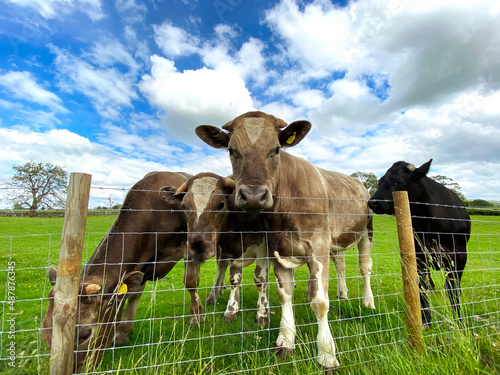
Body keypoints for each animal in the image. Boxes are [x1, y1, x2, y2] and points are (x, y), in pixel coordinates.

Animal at [41, 172, 207, 374]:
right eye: (45, 331)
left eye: (85, 334)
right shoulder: (142, 261)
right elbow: (133, 292)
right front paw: (122, 332)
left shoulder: (189, 245)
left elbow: (191, 281)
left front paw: (197, 317)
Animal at [159, 173, 270, 326]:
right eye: (184, 206)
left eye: (221, 204)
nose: (199, 247)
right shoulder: (230, 249)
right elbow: (233, 278)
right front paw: (231, 310)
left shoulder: (262, 248)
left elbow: (260, 280)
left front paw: (262, 313)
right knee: (222, 269)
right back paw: (214, 296)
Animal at [196, 111, 376, 370]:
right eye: (231, 150)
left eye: (277, 149)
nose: (253, 195)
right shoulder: (278, 247)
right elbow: (285, 294)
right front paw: (286, 340)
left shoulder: (318, 246)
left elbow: (320, 301)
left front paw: (326, 354)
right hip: (335, 242)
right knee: (340, 265)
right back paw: (342, 293)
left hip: (366, 232)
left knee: (364, 267)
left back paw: (368, 302)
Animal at [368, 159, 468, 326]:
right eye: (380, 181)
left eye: (397, 181)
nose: (372, 202)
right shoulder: (419, 253)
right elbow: (421, 285)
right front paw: (426, 320)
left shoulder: (459, 254)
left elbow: (453, 288)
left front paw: (459, 321)